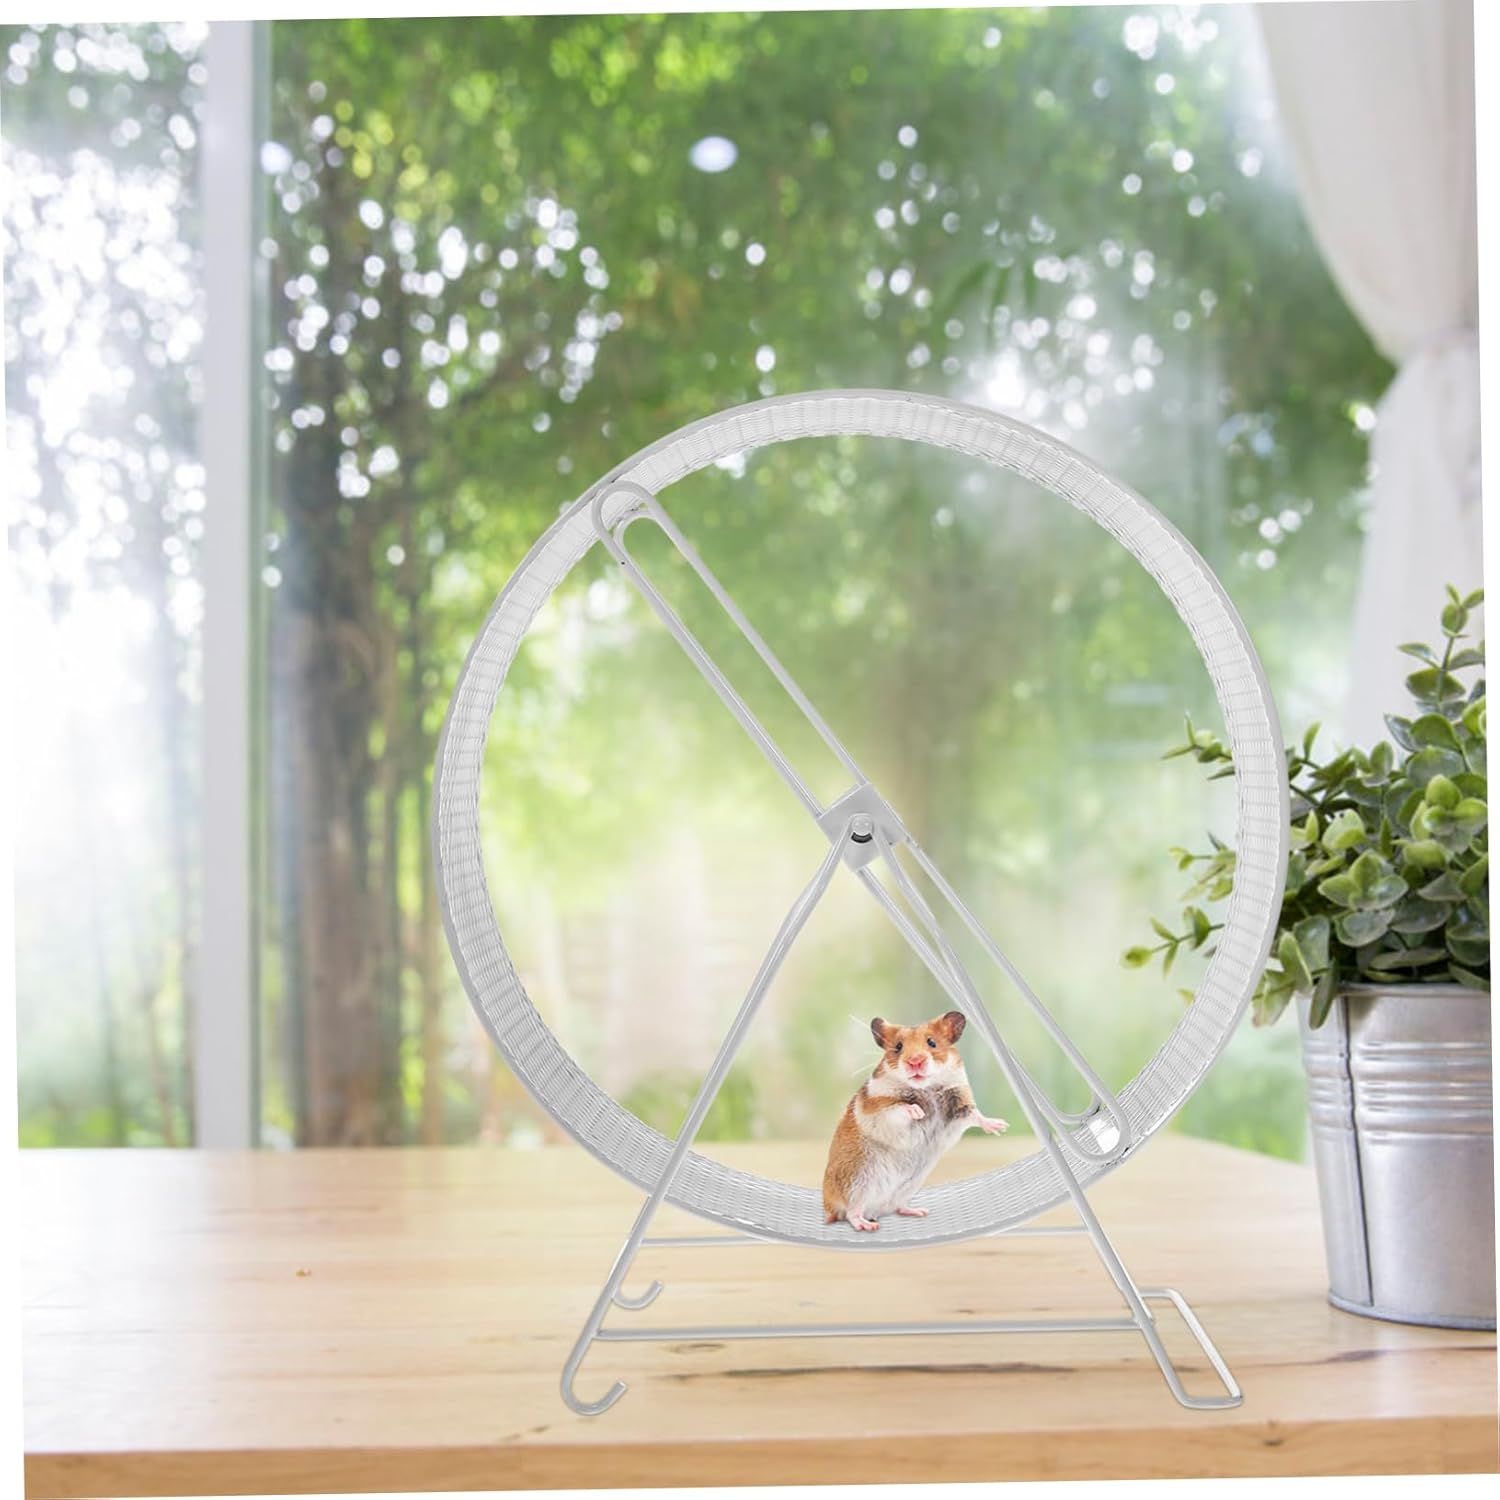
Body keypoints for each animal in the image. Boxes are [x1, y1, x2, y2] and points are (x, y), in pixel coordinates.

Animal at [822, 1009, 1009, 1232]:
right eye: (898, 1047)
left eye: (932, 1042)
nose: (915, 1062)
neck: (926, 1087)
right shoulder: (878, 1109)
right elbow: (899, 1108)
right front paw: (918, 1112)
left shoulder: (959, 1104)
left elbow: (975, 1114)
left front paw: (1000, 1126)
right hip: (858, 1182)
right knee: (851, 1212)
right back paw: (867, 1225)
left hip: (907, 1186)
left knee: (897, 1206)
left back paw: (918, 1211)